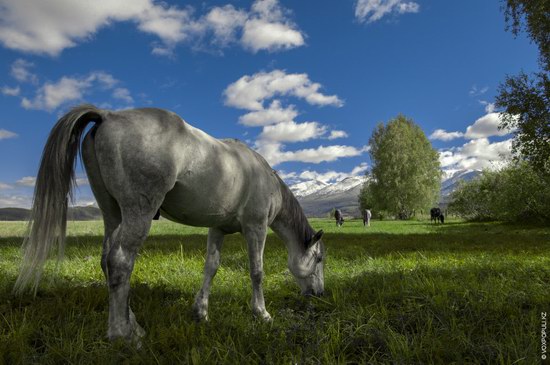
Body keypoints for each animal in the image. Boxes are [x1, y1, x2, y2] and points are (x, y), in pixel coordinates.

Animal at [12, 104, 326, 342]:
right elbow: (257, 271)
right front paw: (261, 313)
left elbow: (211, 267)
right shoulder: (255, 228)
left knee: (106, 261)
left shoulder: (218, 229)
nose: (319, 294)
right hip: (138, 213)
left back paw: (131, 322)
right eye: (320, 258)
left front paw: (201, 312)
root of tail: (108, 115)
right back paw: (123, 334)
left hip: (113, 214)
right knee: (120, 261)